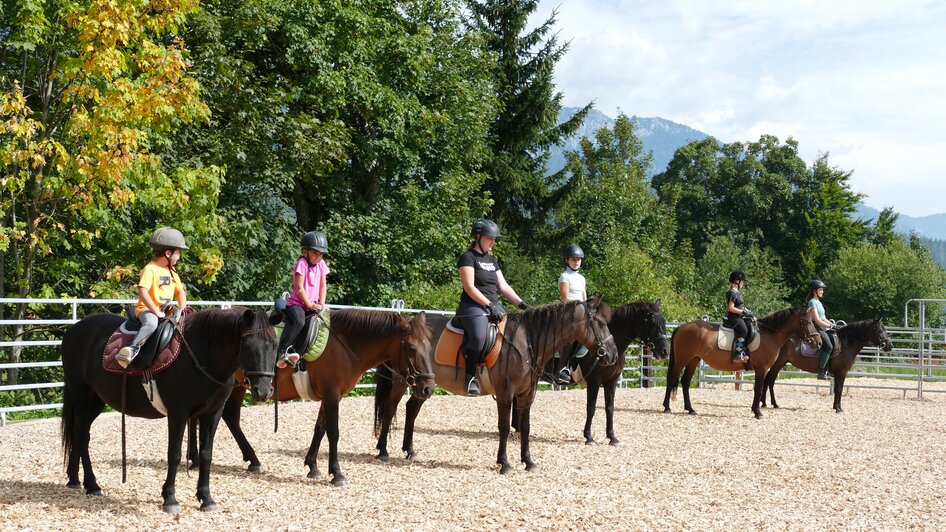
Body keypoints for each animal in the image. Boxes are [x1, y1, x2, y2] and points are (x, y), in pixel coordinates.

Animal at [60, 308, 276, 516]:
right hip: (82, 396)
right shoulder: (178, 413)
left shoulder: (212, 413)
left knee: (78, 434)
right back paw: (92, 485)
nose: (263, 390)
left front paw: (206, 498)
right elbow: (174, 454)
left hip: (96, 400)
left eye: (274, 344)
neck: (200, 356)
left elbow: (206, 454)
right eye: (247, 344)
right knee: (82, 436)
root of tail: (73, 330)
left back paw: (74, 480)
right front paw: (170, 499)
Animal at [193, 308, 436, 486]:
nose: (428, 388)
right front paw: (337, 473)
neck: (344, 345)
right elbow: (333, 432)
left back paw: (249, 460)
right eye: (411, 347)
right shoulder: (332, 395)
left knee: (229, 417)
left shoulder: (330, 396)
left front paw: (313, 466)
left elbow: (320, 429)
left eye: (428, 346)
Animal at [372, 298, 616, 476]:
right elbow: (505, 427)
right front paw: (505, 463)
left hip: (424, 384)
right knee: (390, 408)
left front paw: (528, 461)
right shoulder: (505, 392)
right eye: (601, 323)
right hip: (402, 380)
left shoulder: (526, 394)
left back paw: (410, 451)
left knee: (411, 409)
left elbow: (525, 427)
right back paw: (383, 450)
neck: (526, 342)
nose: (612, 355)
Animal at [660, 308, 816, 420]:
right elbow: (758, 388)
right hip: (682, 359)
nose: (817, 342)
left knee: (685, 381)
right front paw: (758, 412)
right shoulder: (761, 368)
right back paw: (667, 407)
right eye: (807, 322)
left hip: (694, 360)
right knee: (672, 378)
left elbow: (758, 388)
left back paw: (690, 409)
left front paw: (755, 410)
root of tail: (681, 327)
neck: (770, 335)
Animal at [760, 318, 892, 414]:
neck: (845, 344)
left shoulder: (843, 373)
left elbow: (840, 389)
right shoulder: (840, 372)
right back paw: (771, 403)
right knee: (769, 380)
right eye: (879, 330)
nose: (889, 345)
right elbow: (838, 389)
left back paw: (767, 403)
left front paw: (838, 407)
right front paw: (838, 409)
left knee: (769, 381)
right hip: (778, 363)